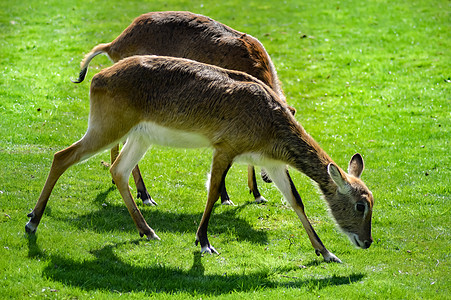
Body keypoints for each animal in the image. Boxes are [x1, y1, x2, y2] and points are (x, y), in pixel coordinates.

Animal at [26, 55, 376, 262]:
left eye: (372, 201)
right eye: (361, 205)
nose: (367, 242)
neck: (269, 120)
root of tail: (97, 78)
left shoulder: (272, 163)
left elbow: (296, 201)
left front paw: (327, 253)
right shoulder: (224, 149)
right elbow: (213, 192)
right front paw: (204, 242)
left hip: (140, 137)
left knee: (118, 170)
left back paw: (148, 231)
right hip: (108, 128)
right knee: (62, 156)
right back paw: (32, 222)